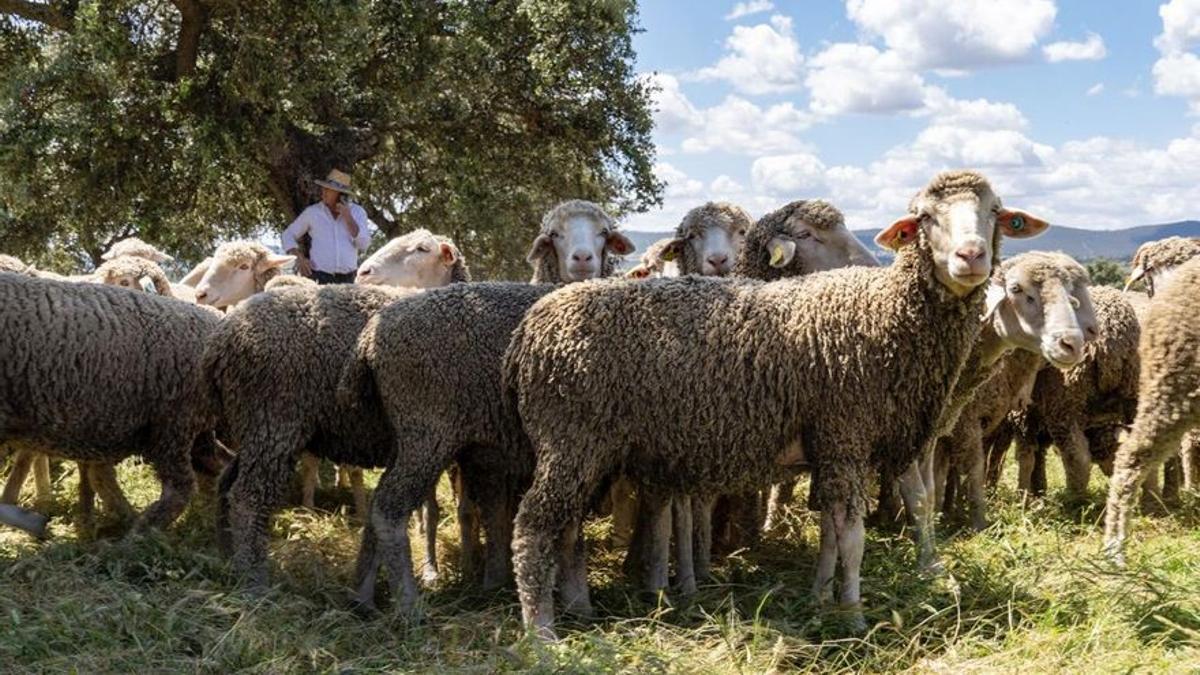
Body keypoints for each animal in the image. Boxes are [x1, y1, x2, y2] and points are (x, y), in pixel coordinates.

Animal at [0, 274, 222, 531]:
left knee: (180, 487)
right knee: (216, 468)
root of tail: (213, 322)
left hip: (173, 422)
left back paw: (136, 531)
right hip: (185, 429)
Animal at [208, 228, 470, 589]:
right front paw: (429, 569)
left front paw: (428, 565)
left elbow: (429, 504)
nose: (365, 271)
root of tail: (223, 338)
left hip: (255, 426)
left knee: (225, 484)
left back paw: (225, 556)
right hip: (273, 421)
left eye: (421, 248)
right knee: (247, 497)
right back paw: (254, 580)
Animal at [334, 202, 634, 610]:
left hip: (407, 434)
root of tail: (370, 335)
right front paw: (574, 598)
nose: (583, 259)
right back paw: (409, 604)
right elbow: (563, 526)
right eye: (554, 234)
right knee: (388, 509)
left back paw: (362, 595)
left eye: (604, 233)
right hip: (427, 432)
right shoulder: (572, 442)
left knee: (379, 507)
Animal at [503, 170, 1048, 636]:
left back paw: (577, 608)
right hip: (571, 442)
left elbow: (833, 532)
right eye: (926, 217)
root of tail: (531, 329)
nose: (971, 257)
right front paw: (852, 616)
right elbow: (853, 538)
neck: (886, 314)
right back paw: (542, 633)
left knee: (564, 527)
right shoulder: (845, 435)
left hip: (586, 449)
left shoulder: (834, 448)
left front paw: (821, 596)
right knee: (531, 529)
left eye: (994, 212)